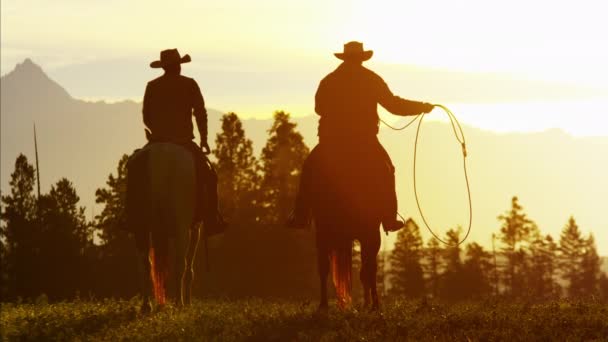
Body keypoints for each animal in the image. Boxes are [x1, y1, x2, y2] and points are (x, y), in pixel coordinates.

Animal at [127, 142, 203, 310]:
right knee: (180, 265)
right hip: (182, 228)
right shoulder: (195, 229)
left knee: (145, 265)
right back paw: (180, 303)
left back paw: (146, 305)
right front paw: (188, 301)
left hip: (141, 227)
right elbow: (189, 267)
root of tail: (160, 157)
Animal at [308, 143, 384, 312]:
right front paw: (372, 304)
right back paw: (323, 304)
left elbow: (367, 269)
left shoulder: (370, 235)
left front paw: (372, 304)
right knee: (324, 267)